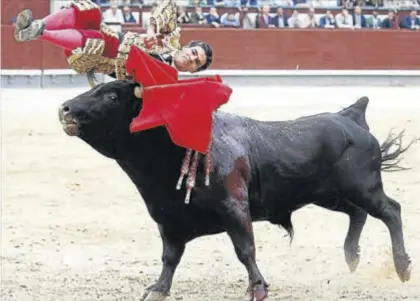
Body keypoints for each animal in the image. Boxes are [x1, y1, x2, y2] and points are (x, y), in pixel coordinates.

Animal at [58, 79, 414, 300]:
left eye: (111, 96)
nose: (65, 109)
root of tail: (349, 116)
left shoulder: (233, 207)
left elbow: (245, 250)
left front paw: (258, 288)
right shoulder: (168, 218)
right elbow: (169, 257)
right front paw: (157, 289)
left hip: (363, 187)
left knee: (390, 211)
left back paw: (402, 267)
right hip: (330, 194)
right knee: (358, 214)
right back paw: (352, 256)